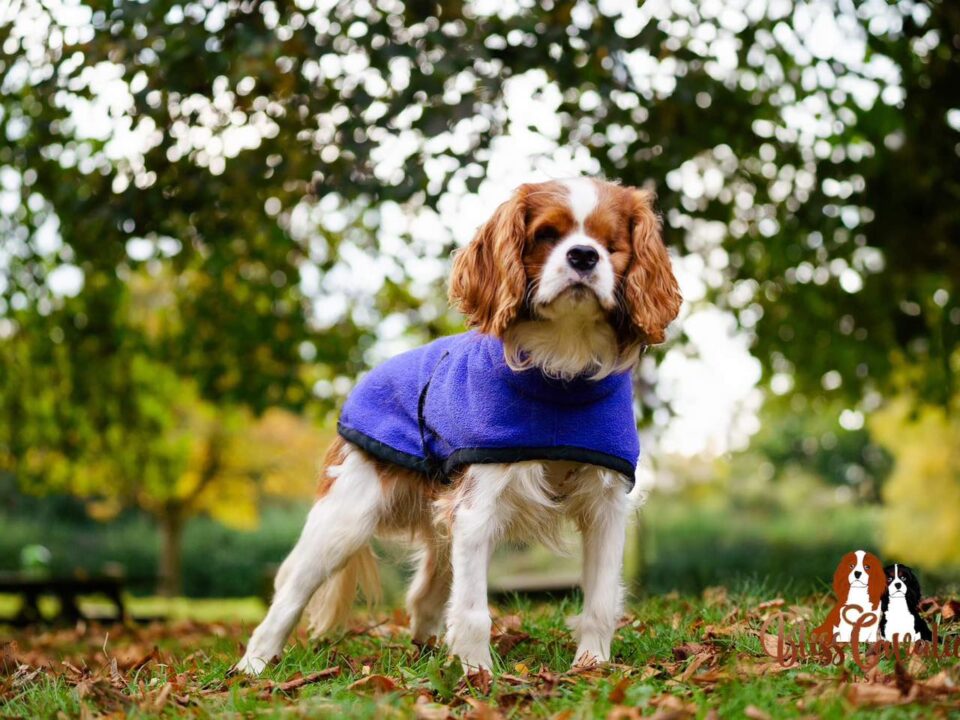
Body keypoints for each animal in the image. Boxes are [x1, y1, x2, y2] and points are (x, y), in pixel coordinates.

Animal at [234, 179, 684, 676]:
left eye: (611, 244)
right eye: (547, 235)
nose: (584, 256)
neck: (561, 365)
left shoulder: (605, 506)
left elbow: (600, 601)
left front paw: (591, 667)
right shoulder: (477, 508)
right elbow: (472, 610)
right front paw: (478, 675)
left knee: (423, 595)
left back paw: (426, 651)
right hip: (346, 517)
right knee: (291, 590)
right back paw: (254, 664)